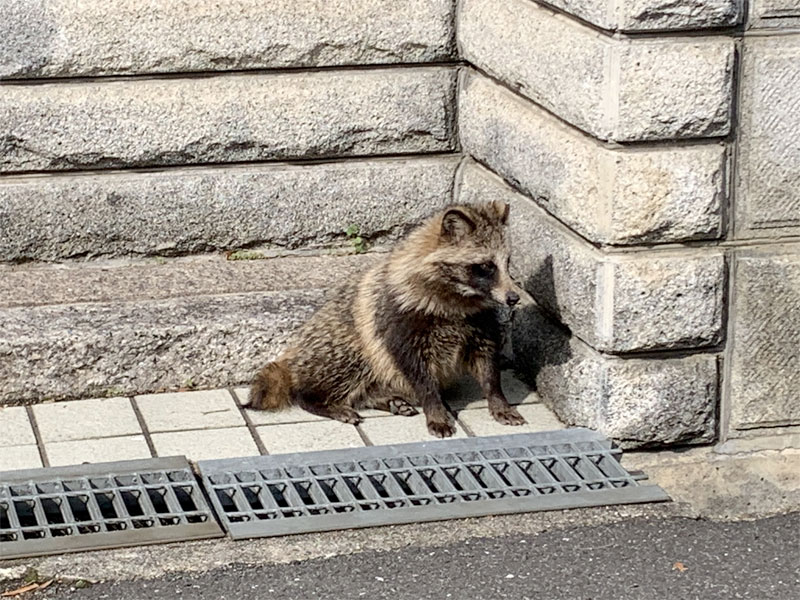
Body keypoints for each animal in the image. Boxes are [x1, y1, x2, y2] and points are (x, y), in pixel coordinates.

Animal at [247, 199, 528, 438]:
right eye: (486, 266)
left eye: (507, 262)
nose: (514, 298)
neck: (460, 298)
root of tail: (292, 359)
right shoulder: (399, 318)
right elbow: (418, 372)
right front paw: (436, 410)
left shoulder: (479, 321)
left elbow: (487, 362)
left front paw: (498, 399)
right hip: (338, 345)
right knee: (344, 363)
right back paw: (321, 401)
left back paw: (382, 398)